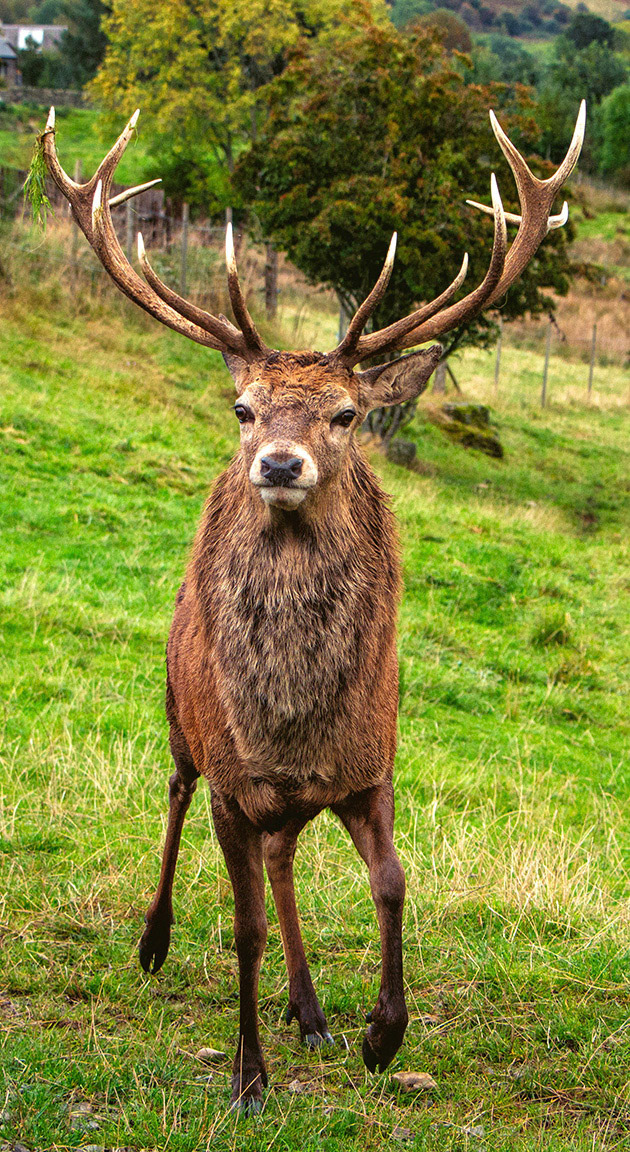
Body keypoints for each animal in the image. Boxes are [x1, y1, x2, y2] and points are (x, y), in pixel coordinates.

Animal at [42, 100, 585, 1114]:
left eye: (344, 413)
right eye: (244, 409)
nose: (280, 462)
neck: (293, 723)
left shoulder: (370, 767)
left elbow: (394, 882)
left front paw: (380, 1032)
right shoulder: (233, 781)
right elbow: (244, 926)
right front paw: (250, 1079)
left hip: (290, 800)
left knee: (286, 857)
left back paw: (312, 1012)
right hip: (178, 712)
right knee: (174, 795)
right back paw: (156, 943)